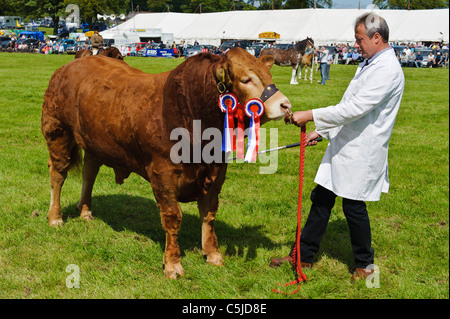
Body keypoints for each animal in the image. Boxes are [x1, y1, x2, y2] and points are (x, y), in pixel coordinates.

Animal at [42, 48, 292, 280]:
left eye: (269, 75)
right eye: (246, 79)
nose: (285, 105)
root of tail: (77, 60)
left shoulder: (217, 170)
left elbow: (209, 214)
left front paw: (213, 254)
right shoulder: (162, 172)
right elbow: (172, 218)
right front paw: (173, 264)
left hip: (95, 142)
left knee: (89, 173)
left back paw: (85, 211)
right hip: (58, 131)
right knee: (58, 175)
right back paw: (55, 217)